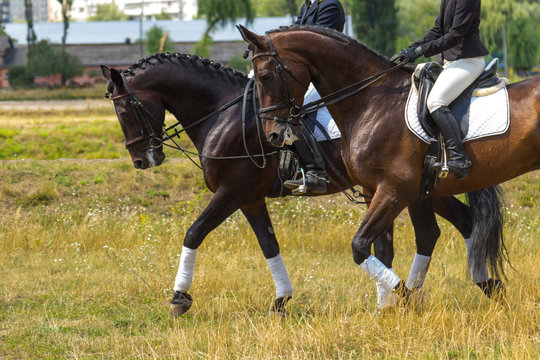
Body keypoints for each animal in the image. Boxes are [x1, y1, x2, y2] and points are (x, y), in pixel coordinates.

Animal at [101, 51, 506, 316]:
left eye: (123, 110)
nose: (141, 160)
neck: (224, 115)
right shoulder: (249, 199)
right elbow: (269, 245)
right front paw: (281, 300)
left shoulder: (231, 192)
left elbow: (193, 233)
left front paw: (179, 298)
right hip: (416, 190)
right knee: (459, 224)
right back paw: (481, 289)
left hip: (409, 189)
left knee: (448, 228)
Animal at [242, 24, 540, 300]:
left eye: (265, 77)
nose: (273, 135)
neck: (372, 101)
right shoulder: (375, 190)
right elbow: (381, 250)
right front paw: (388, 309)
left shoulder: (395, 190)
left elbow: (360, 246)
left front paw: (408, 301)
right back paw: (491, 288)